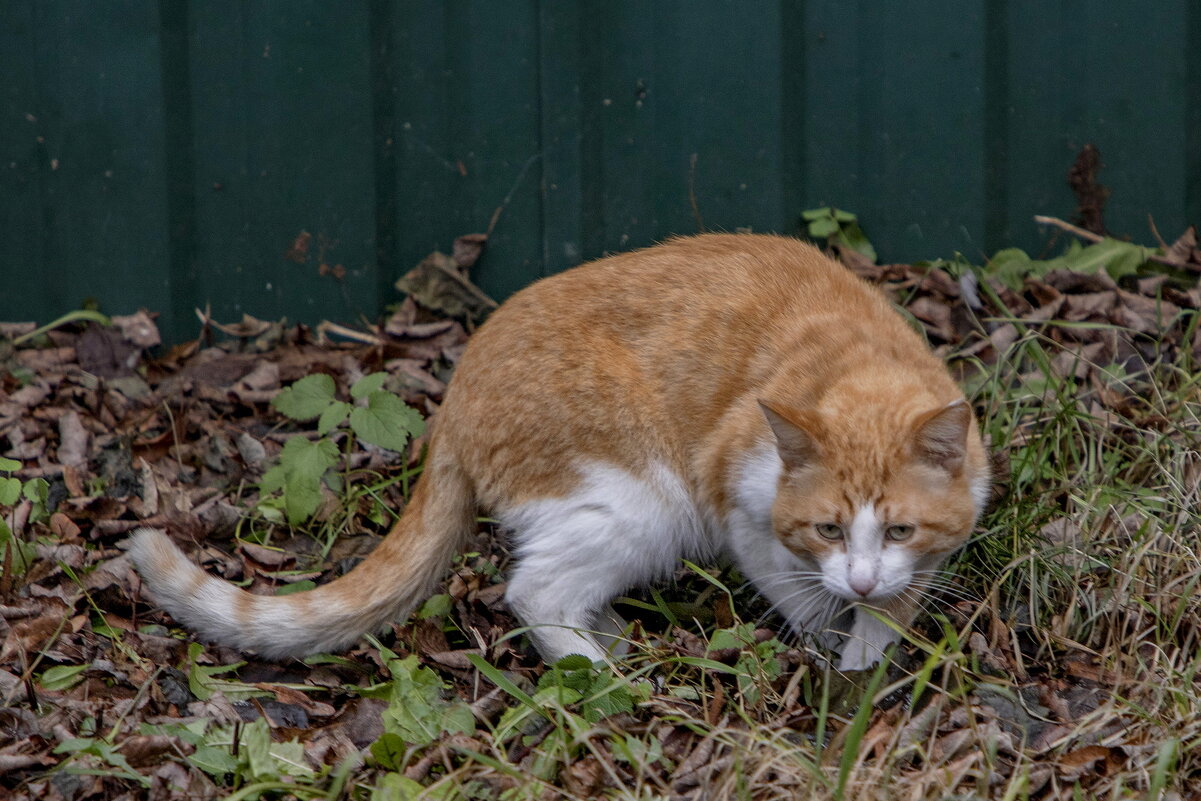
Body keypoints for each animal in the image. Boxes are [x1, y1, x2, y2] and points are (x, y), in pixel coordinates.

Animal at [131, 231, 989, 672]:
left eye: (899, 529)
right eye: (827, 529)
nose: (861, 576)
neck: (855, 364)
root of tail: (455, 392)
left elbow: (900, 597)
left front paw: (870, 639)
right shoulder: (736, 504)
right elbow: (793, 588)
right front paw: (833, 646)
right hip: (646, 504)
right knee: (535, 591)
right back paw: (601, 676)